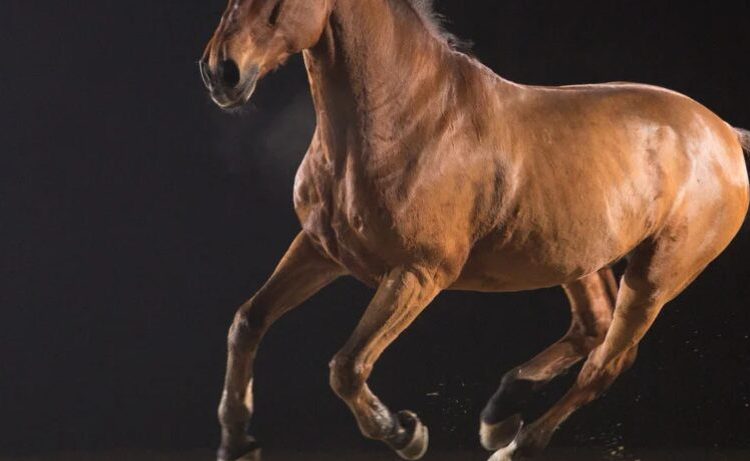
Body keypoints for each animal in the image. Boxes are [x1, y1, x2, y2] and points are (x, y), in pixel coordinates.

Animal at [199, 1, 750, 460]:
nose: (220, 72)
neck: (406, 119)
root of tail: (724, 132)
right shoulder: (320, 249)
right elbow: (247, 321)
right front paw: (237, 441)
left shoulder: (419, 273)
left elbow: (347, 367)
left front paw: (406, 433)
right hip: (576, 257)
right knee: (592, 325)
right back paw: (501, 412)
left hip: (656, 276)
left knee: (606, 363)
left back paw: (514, 444)